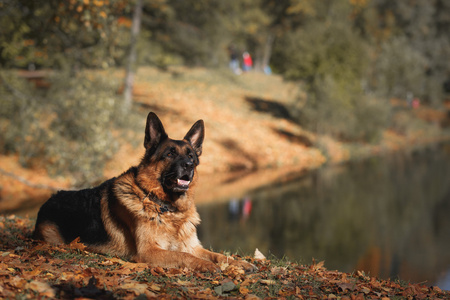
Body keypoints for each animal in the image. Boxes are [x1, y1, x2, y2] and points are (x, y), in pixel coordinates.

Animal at [33, 112, 255, 272]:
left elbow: (218, 255)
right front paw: (206, 265)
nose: (189, 165)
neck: (166, 207)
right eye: (170, 154)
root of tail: (48, 200)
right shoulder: (149, 252)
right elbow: (184, 256)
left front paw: (239, 263)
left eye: (191, 155)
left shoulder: (194, 246)